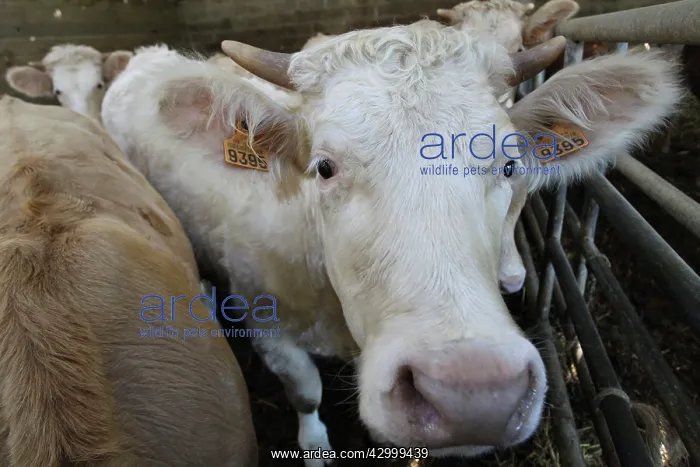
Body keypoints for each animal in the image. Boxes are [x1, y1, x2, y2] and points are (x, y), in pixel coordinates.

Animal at [101, 20, 682, 466]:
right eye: (324, 167)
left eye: (509, 163)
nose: (474, 392)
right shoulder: (269, 327)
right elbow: (305, 394)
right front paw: (315, 447)